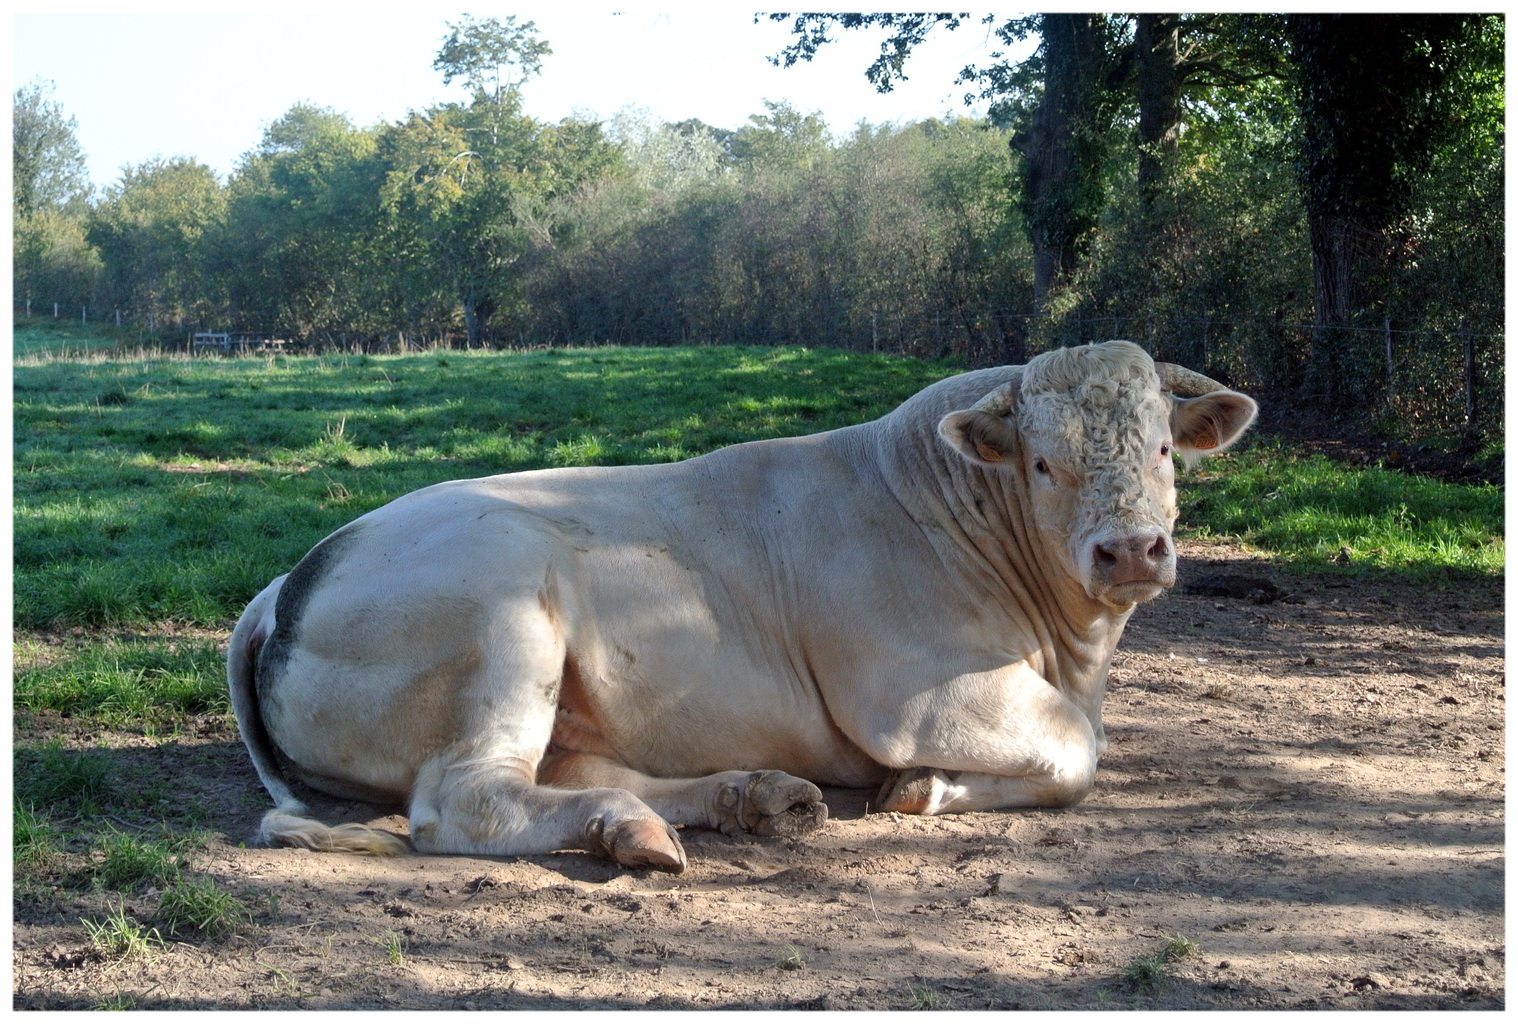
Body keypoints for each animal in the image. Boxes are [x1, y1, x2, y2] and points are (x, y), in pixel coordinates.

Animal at [227, 342, 1256, 873]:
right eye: (1043, 462)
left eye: (1164, 448)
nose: (1130, 549)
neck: (1072, 650)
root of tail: (284, 583)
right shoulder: (917, 693)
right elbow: (1079, 754)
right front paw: (923, 788)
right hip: (502, 618)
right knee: (462, 806)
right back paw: (639, 830)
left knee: (582, 772)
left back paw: (744, 800)